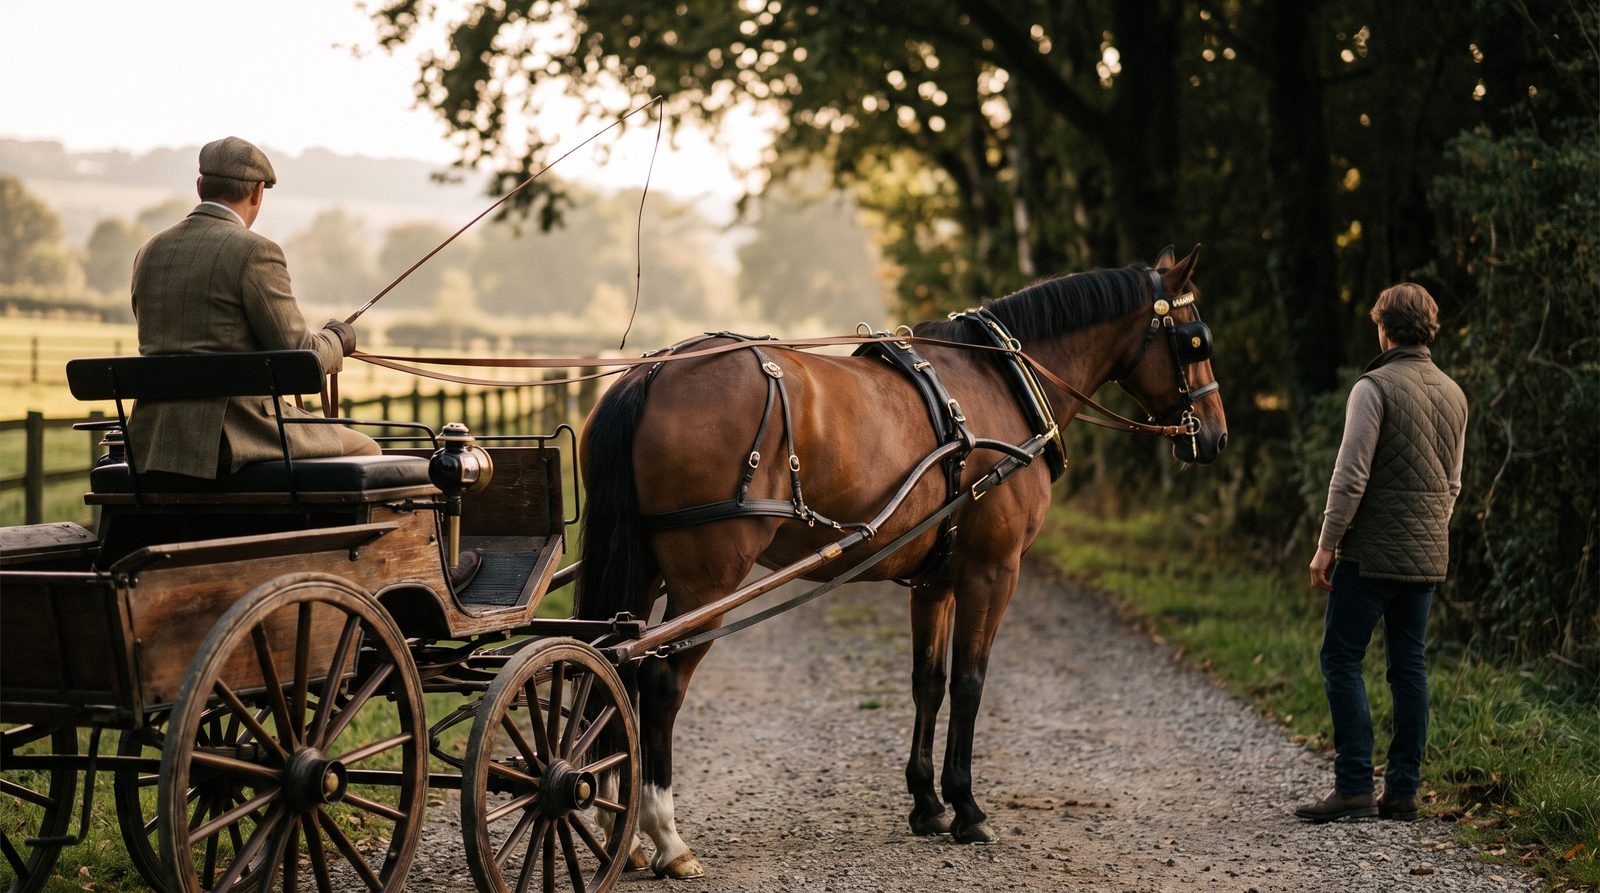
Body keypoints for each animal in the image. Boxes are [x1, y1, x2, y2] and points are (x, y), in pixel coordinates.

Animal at [575, 246, 1227, 878]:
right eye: (1196, 340)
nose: (1216, 436)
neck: (1000, 384)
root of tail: (652, 372)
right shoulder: (992, 572)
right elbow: (970, 682)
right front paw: (967, 808)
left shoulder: (936, 580)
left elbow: (928, 682)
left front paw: (928, 804)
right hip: (708, 581)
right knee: (659, 682)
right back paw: (665, 837)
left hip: (644, 571)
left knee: (613, 671)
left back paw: (617, 831)